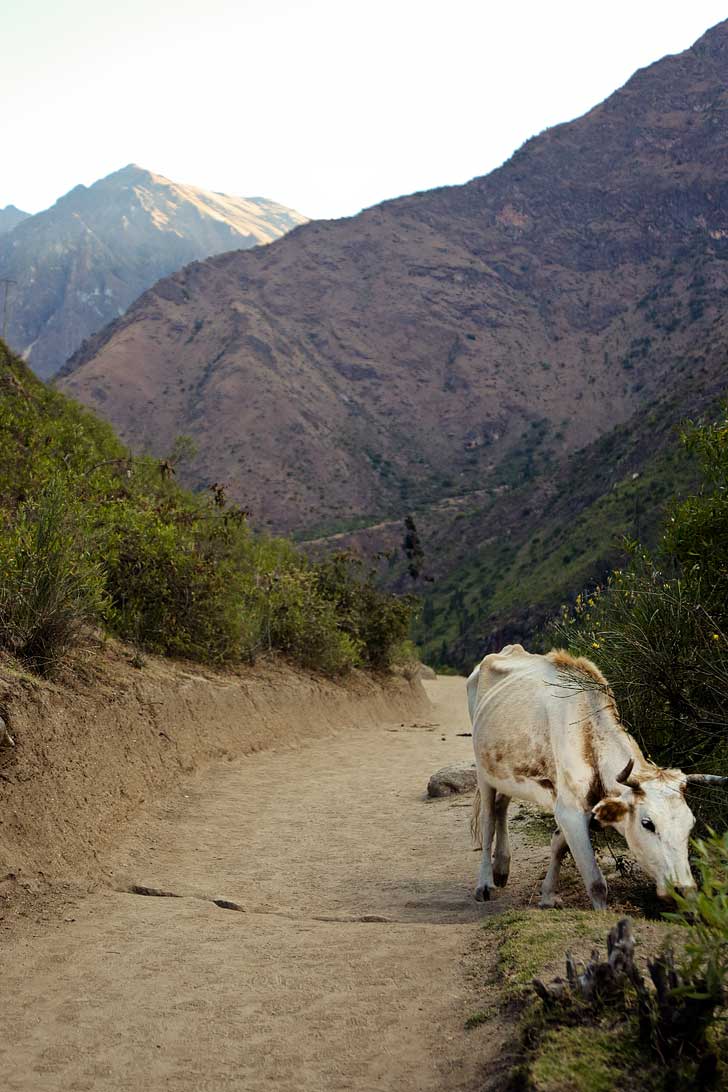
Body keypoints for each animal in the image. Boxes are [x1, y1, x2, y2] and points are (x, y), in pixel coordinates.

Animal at [467, 642, 724, 908]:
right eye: (647, 823)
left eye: (690, 823)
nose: (683, 889)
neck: (588, 735)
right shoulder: (570, 810)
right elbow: (596, 883)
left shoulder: (569, 806)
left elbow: (558, 845)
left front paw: (547, 896)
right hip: (483, 773)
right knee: (487, 820)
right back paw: (485, 884)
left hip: (504, 772)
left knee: (501, 807)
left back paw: (501, 869)